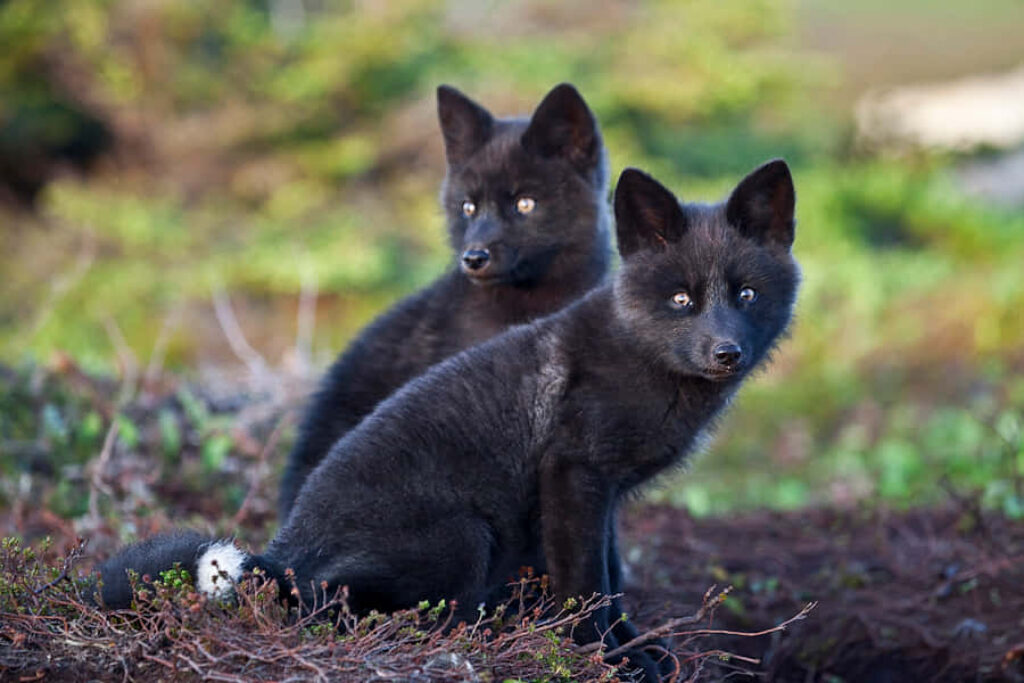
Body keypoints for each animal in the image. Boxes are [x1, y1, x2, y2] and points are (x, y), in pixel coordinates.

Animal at [94, 160, 800, 680]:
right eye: (681, 299)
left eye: (746, 295)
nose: (727, 353)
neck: (643, 357)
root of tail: (284, 553)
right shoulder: (574, 474)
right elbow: (587, 586)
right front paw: (606, 659)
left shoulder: (605, 495)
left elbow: (614, 580)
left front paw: (635, 649)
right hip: (465, 535)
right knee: (332, 610)